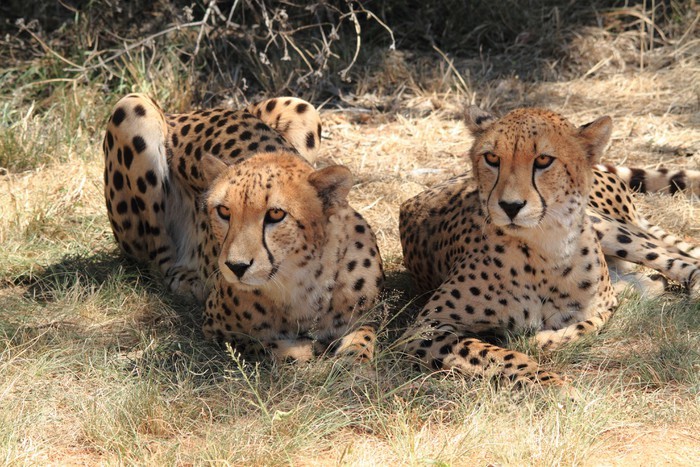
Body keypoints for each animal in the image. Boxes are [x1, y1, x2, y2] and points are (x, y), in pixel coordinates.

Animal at [103, 94, 383, 363]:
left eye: (276, 214)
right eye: (224, 211)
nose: (236, 267)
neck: (301, 282)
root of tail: (188, 112)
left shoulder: (365, 318)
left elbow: (363, 339)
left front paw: (352, 360)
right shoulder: (217, 327)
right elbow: (273, 349)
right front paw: (302, 352)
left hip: (304, 108)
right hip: (133, 107)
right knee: (156, 254)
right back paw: (187, 279)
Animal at [398, 106, 700, 391]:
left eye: (543, 160)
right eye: (492, 158)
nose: (510, 206)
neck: (541, 250)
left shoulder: (605, 304)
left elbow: (586, 323)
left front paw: (539, 339)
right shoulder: (423, 330)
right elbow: (498, 354)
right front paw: (552, 384)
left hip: (607, 226)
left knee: (677, 258)